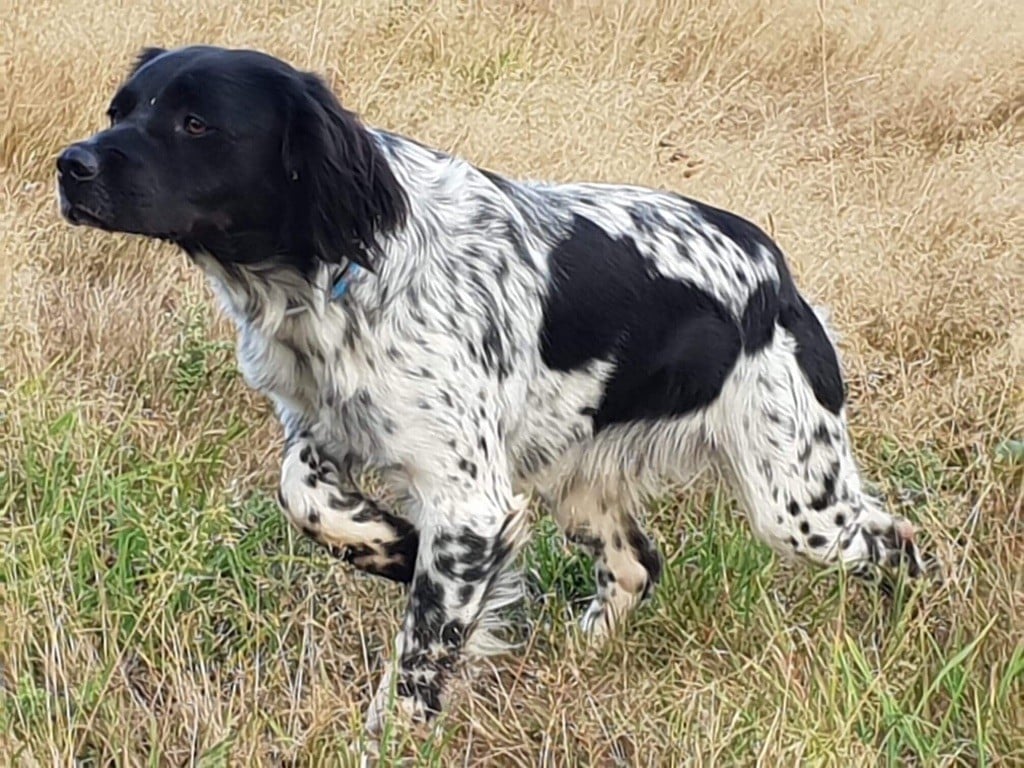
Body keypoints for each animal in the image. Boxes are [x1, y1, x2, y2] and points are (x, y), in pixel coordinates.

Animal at [56, 45, 928, 733]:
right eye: (119, 109)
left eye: (196, 124)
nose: (73, 164)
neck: (331, 273)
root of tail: (779, 276)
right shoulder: (328, 428)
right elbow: (301, 494)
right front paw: (392, 547)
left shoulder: (471, 498)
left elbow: (421, 652)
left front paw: (395, 732)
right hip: (580, 475)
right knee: (638, 564)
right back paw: (578, 648)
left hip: (797, 499)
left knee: (898, 541)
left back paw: (911, 621)